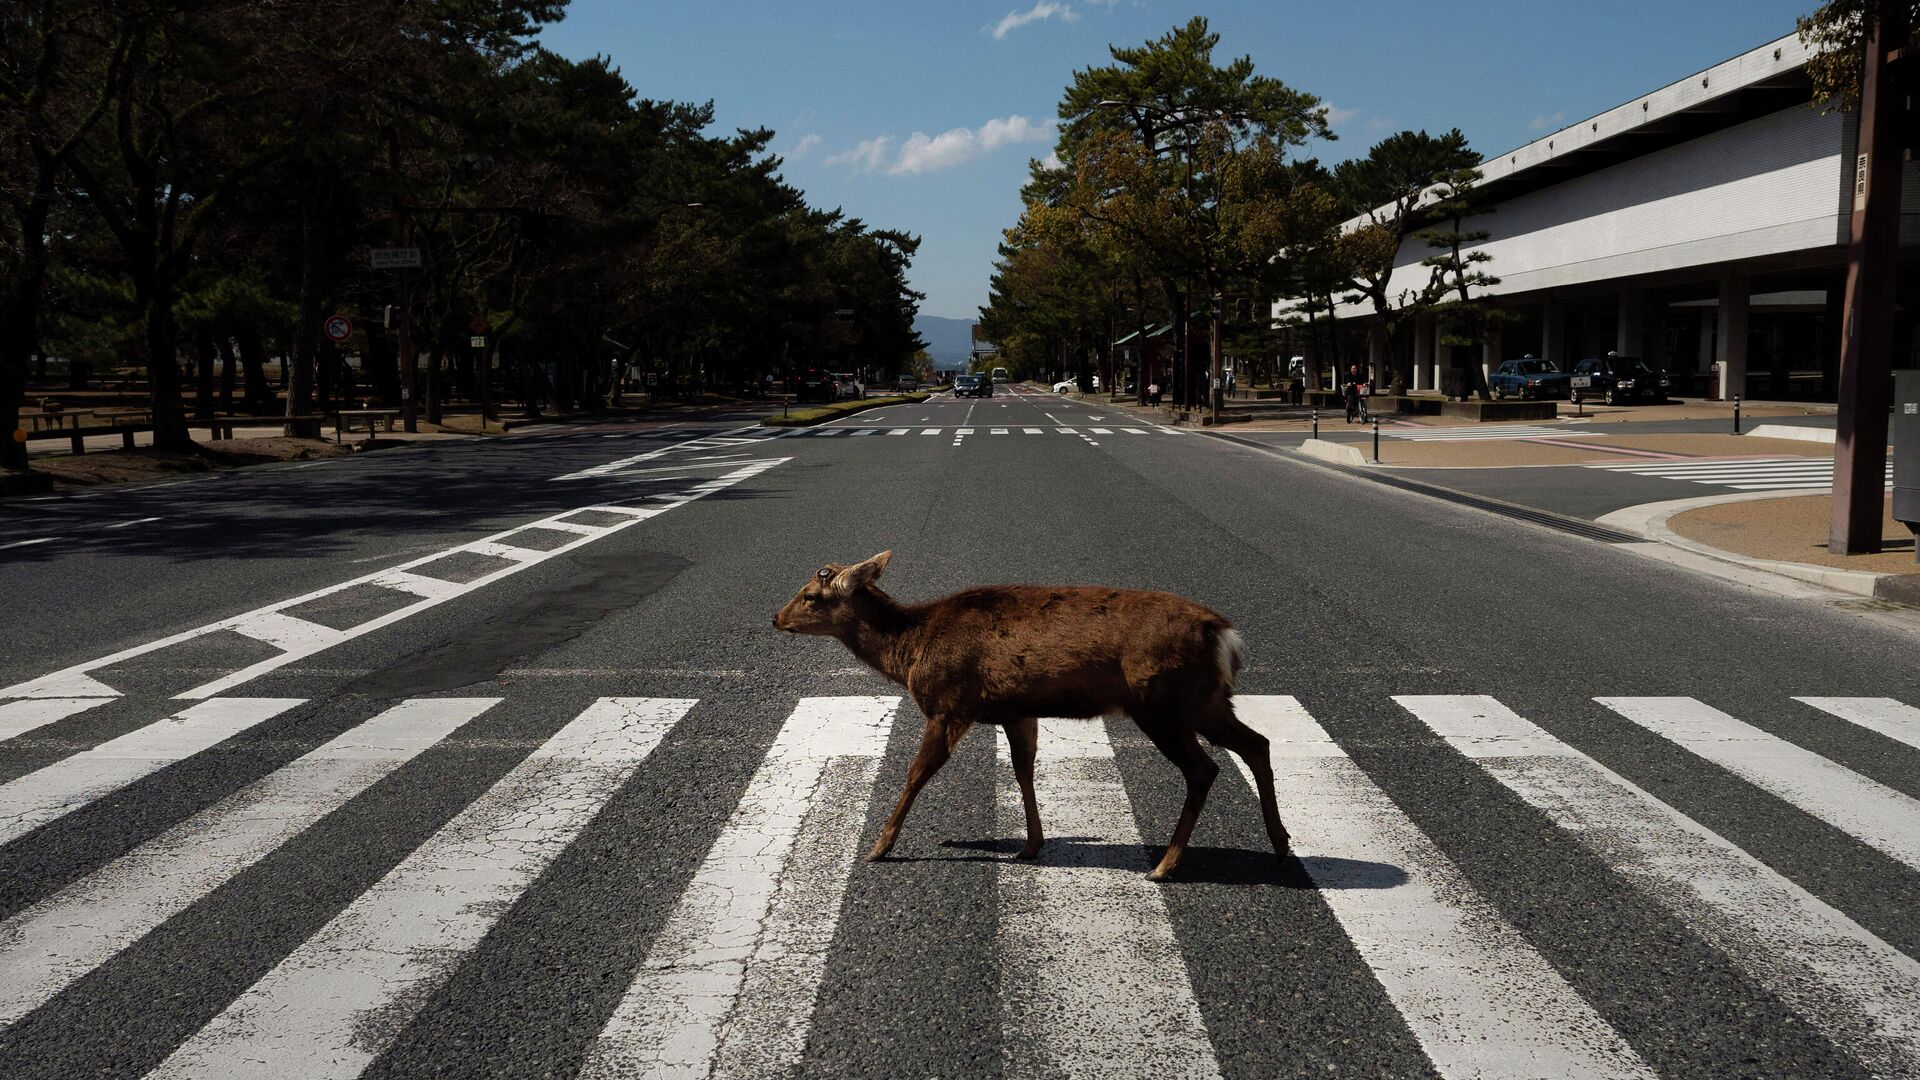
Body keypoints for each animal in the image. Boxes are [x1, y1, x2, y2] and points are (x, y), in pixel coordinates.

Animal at [768, 549, 1290, 880]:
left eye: (811, 596)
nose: (775, 618)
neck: (911, 651)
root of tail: (1225, 636)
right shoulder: (1016, 711)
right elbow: (1023, 772)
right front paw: (1032, 844)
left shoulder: (950, 703)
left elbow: (917, 773)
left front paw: (880, 846)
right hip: (1206, 702)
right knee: (1257, 743)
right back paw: (1281, 843)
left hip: (1162, 703)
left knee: (1205, 769)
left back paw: (1165, 865)